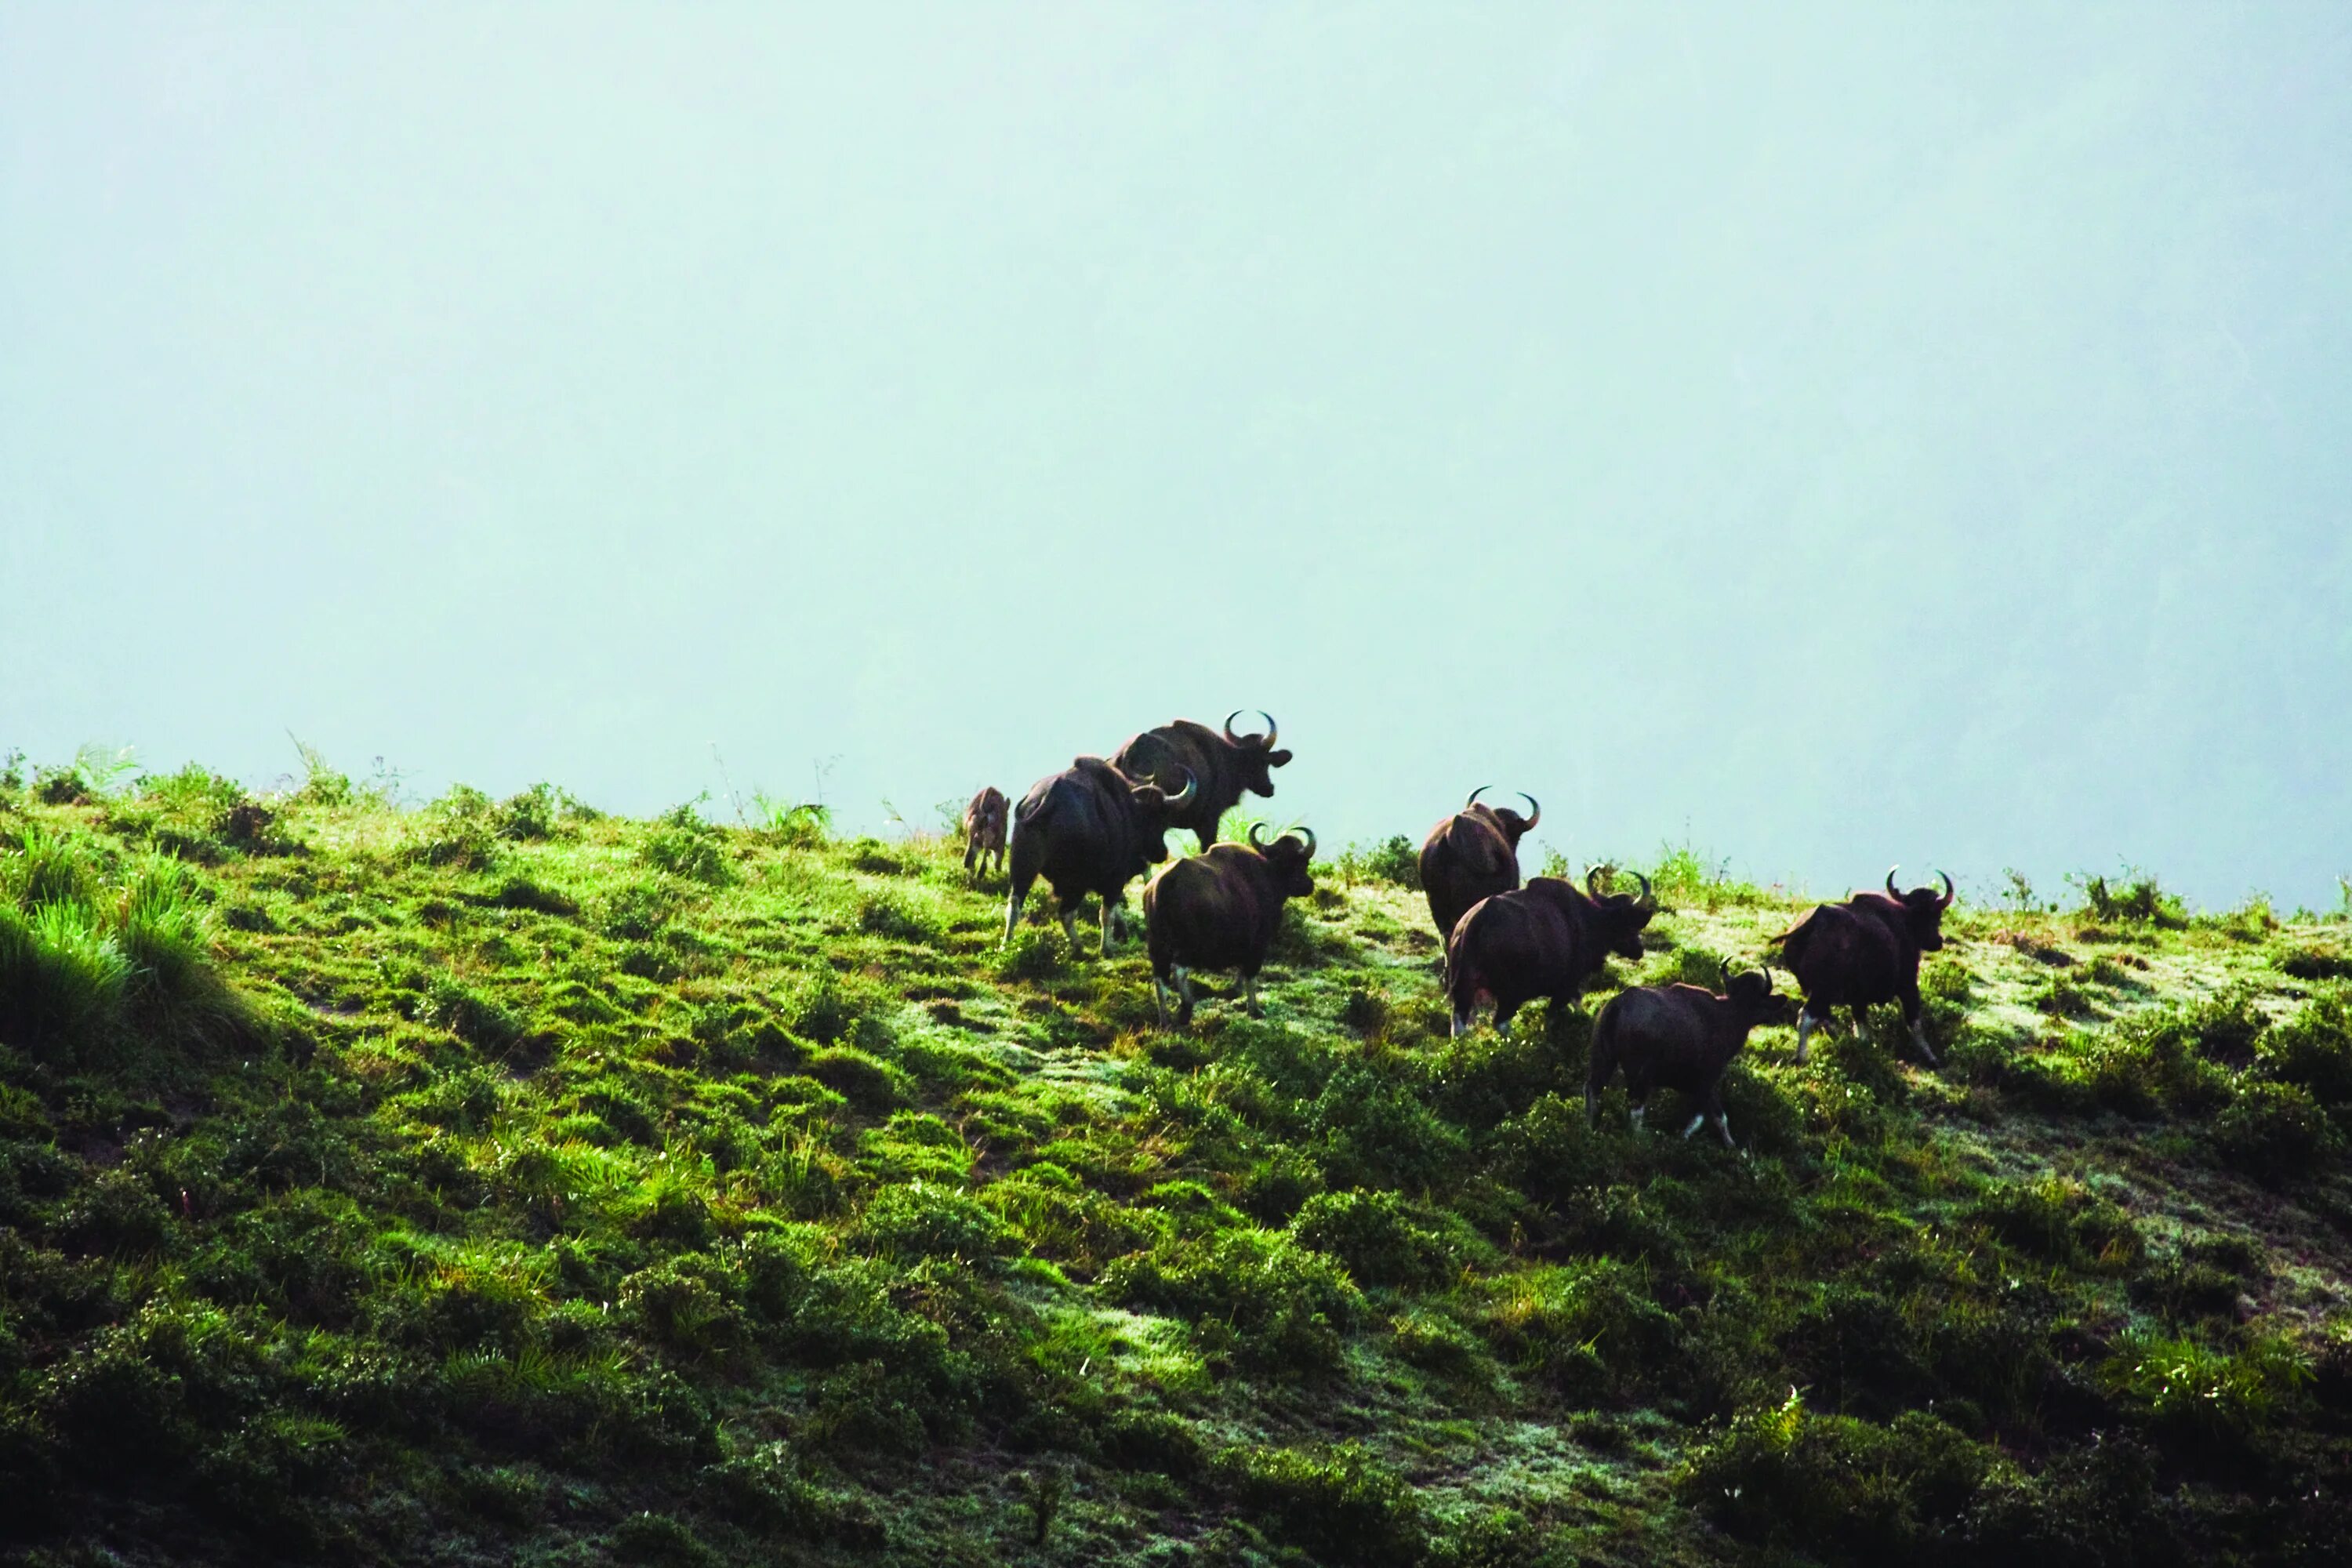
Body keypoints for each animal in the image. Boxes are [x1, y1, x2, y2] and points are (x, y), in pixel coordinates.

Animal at [1143, 822, 1317, 1029]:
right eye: (1303, 863)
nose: (1309, 885)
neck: (1269, 872)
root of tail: (1165, 885)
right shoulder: (1258, 944)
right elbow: (1250, 975)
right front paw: (1255, 1010)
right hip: (1186, 945)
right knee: (1179, 971)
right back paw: (1186, 1010)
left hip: (1157, 945)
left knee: (1159, 979)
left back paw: (1165, 1020)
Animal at [1590, 964, 1788, 1147]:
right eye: (1762, 1001)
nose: (1775, 1018)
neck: (1730, 1014)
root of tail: (1618, 1006)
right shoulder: (1708, 1081)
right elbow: (1708, 1117)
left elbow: (1713, 1117)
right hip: (1640, 1075)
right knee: (1635, 1109)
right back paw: (1640, 1140)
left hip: (1603, 1059)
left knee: (1592, 1092)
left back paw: (1590, 1128)